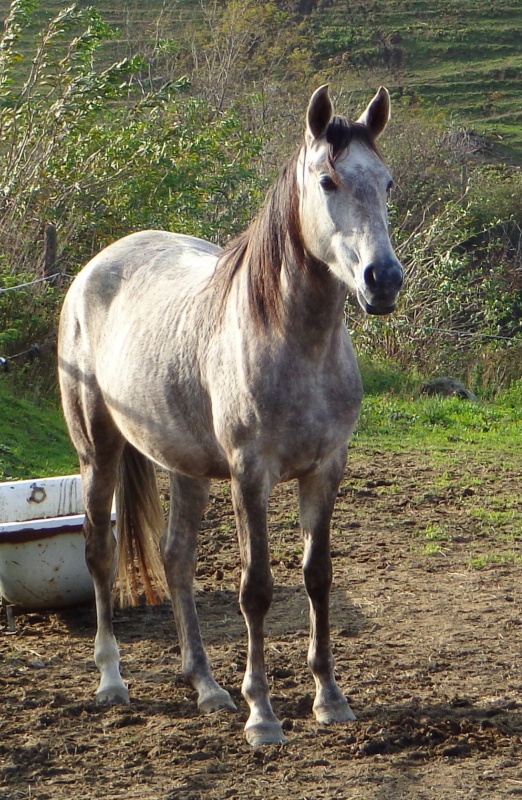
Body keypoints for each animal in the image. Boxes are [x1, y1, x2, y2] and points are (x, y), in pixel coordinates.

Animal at [58, 84, 402, 748]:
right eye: (327, 181)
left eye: (388, 182)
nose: (384, 280)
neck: (296, 344)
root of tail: (96, 266)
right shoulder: (251, 475)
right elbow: (257, 589)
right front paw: (262, 714)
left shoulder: (326, 469)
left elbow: (317, 576)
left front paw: (329, 698)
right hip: (98, 451)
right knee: (99, 552)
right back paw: (112, 680)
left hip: (186, 466)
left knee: (176, 557)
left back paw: (205, 684)